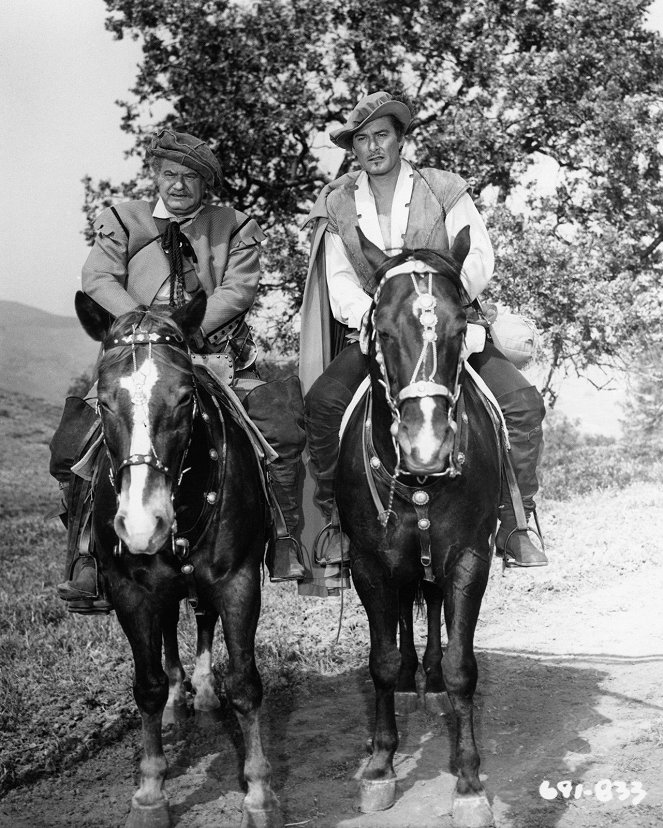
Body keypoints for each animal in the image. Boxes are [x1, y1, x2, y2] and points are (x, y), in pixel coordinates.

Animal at [76, 292, 282, 828]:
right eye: (102, 402)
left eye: (185, 397)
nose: (142, 524)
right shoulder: (130, 590)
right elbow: (145, 686)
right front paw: (150, 792)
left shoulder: (238, 581)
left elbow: (245, 684)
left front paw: (259, 793)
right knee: (170, 630)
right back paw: (177, 699)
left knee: (202, 619)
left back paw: (204, 693)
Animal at [340, 228, 500, 828]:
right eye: (382, 330)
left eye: (460, 328)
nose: (426, 447)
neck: (421, 482)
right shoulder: (369, 563)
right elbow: (381, 662)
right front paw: (381, 766)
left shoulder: (469, 558)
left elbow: (460, 667)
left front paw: (469, 779)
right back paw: (413, 681)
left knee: (429, 603)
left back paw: (426, 680)